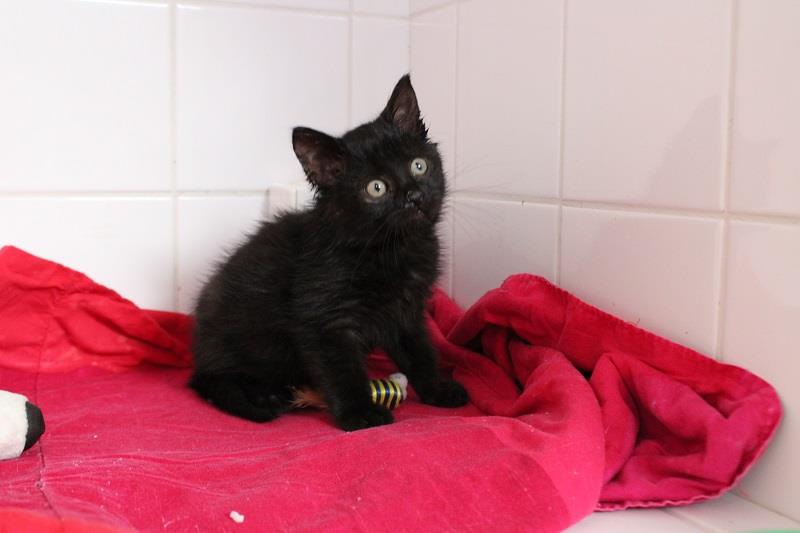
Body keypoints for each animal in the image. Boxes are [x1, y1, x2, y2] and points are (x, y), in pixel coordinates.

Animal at [190, 75, 469, 431]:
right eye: (376, 187)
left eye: (418, 165)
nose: (414, 196)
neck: (391, 249)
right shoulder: (325, 320)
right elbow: (342, 369)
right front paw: (360, 413)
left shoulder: (407, 311)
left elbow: (420, 351)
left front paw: (438, 388)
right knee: (210, 379)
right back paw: (262, 397)